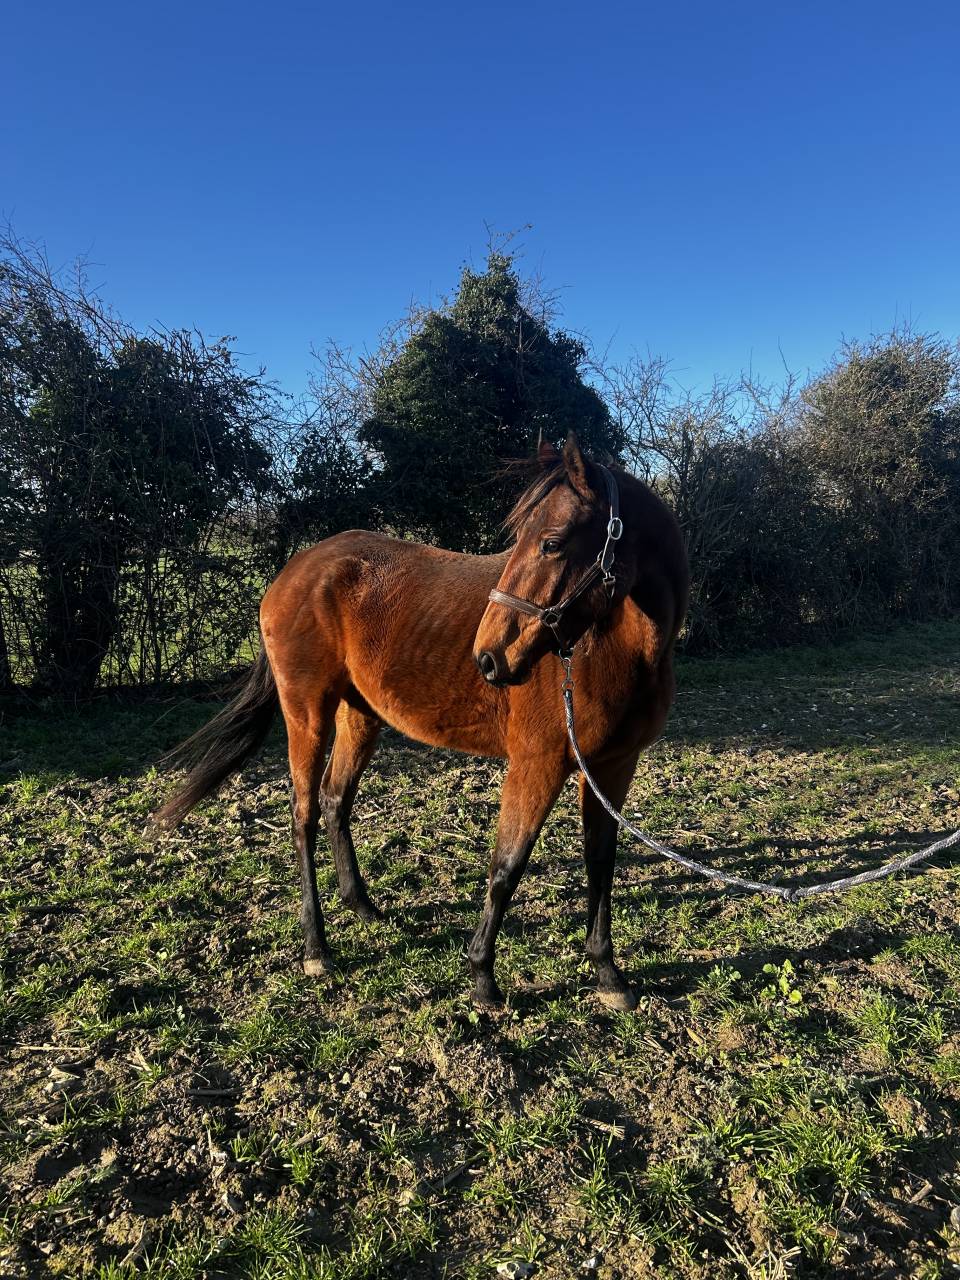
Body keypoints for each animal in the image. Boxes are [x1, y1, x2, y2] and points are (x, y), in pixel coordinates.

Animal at [155, 433, 689, 1010]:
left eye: (551, 542)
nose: (488, 658)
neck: (617, 650)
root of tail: (295, 570)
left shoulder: (613, 766)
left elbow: (601, 862)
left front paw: (608, 974)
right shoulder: (537, 763)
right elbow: (507, 867)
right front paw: (482, 977)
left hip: (360, 716)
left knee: (335, 800)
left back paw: (363, 907)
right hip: (307, 715)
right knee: (304, 815)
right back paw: (317, 947)